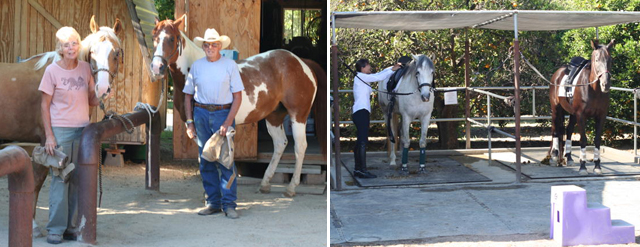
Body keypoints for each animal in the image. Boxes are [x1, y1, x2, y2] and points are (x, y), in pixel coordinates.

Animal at [0, 15, 122, 233]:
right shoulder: (45, 142)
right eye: (92, 52)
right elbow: (37, 180)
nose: (102, 88)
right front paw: (32, 224)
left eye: (115, 53)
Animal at [150, 14, 324, 197]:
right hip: (274, 117)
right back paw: (265, 183)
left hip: (298, 115)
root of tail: (302, 62)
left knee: (300, 147)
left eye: (171, 38)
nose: (156, 67)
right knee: (280, 144)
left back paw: (291, 188)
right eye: (154, 37)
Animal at [552, 39, 616, 176]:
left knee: (568, 130)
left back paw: (569, 158)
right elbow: (583, 140)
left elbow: (597, 140)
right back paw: (554, 157)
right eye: (596, 60)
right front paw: (583, 167)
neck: (593, 90)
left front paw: (597, 166)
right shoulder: (581, 116)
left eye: (610, 59)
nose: (606, 84)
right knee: (555, 130)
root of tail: (558, 73)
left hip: (572, 114)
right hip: (555, 109)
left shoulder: (601, 116)